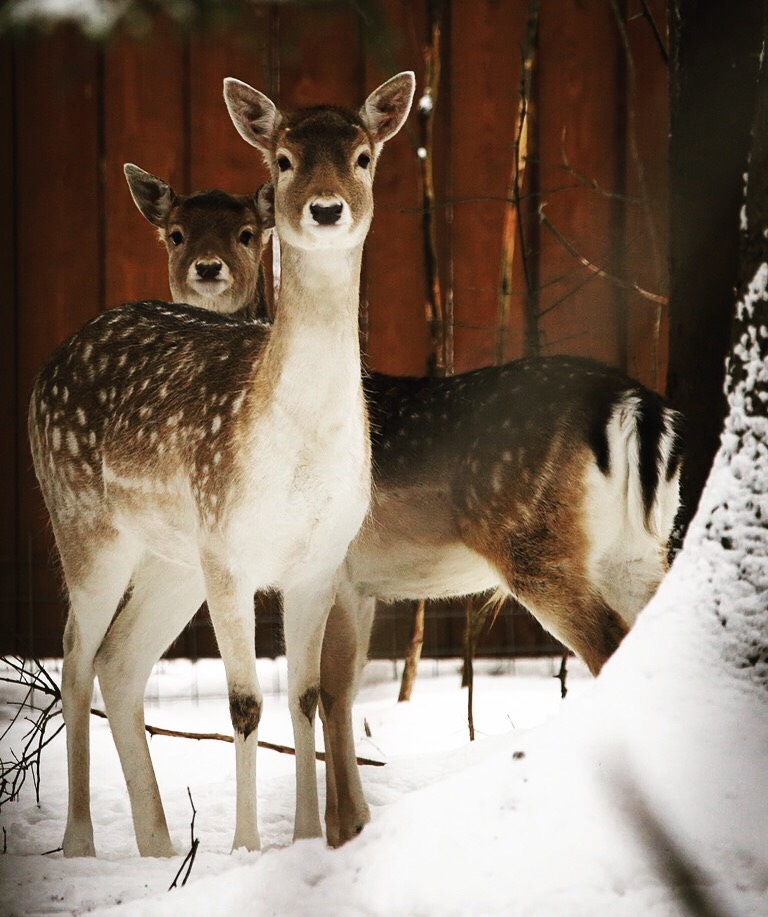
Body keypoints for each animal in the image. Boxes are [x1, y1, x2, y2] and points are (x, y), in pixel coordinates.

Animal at [28, 71, 414, 860]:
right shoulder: (231, 551)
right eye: (283, 159)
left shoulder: (318, 558)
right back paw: (81, 842)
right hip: (84, 520)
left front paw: (307, 840)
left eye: (363, 156)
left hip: (174, 558)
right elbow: (243, 703)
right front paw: (245, 849)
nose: (325, 208)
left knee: (119, 658)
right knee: (75, 653)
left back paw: (158, 844)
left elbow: (304, 695)